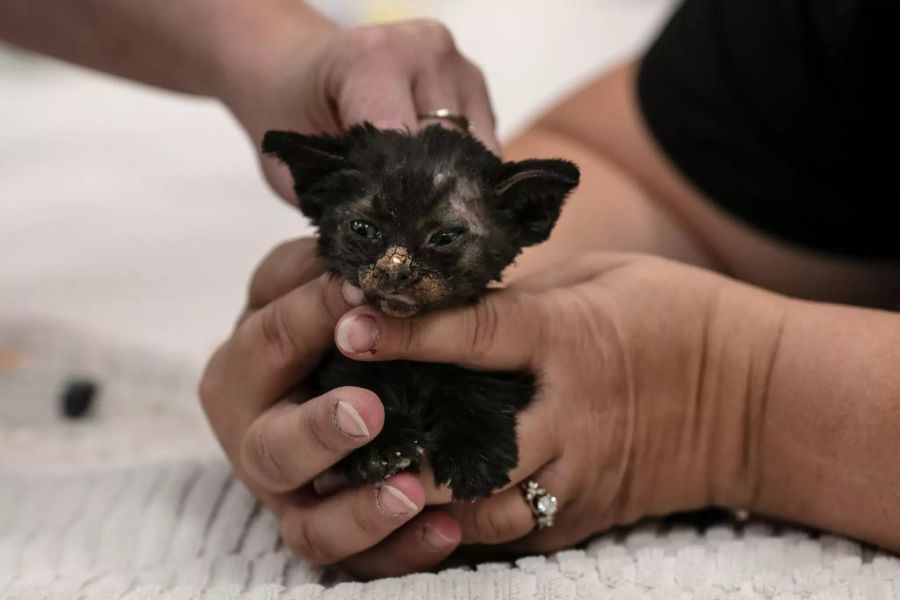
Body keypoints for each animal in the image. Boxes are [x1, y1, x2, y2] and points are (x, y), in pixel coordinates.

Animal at [264, 123, 580, 502]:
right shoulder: (337, 361)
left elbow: (479, 384)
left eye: (445, 237)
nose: (396, 271)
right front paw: (384, 448)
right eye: (363, 229)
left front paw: (474, 454)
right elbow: (355, 378)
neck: (414, 367)